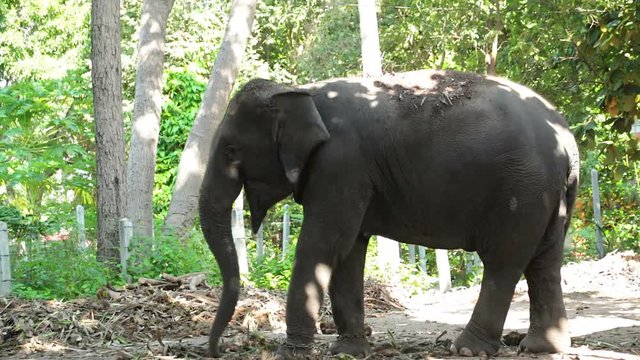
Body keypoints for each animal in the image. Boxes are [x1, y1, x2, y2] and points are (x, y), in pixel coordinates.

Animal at [199, 69, 580, 358]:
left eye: (231, 151)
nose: (216, 351)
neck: (302, 90)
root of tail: (568, 140)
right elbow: (348, 249)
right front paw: (348, 351)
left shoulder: (340, 163)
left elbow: (322, 244)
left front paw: (289, 354)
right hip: (547, 195)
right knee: (545, 262)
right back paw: (542, 348)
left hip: (522, 189)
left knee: (504, 263)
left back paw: (467, 349)